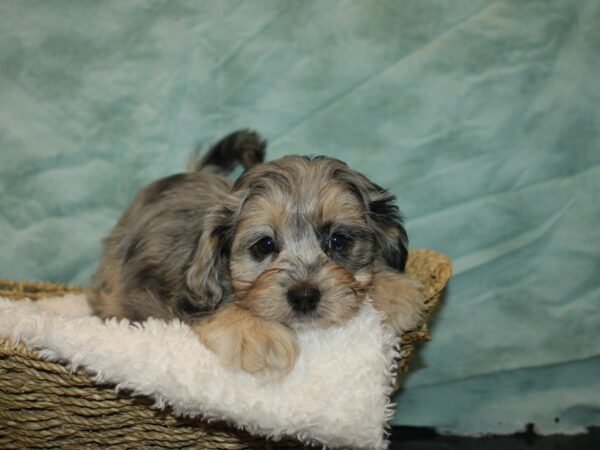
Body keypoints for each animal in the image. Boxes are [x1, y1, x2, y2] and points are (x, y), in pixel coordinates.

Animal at [89, 130, 424, 376]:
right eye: (265, 245)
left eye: (338, 241)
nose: (304, 297)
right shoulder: (181, 301)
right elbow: (217, 310)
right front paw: (259, 333)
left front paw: (394, 290)